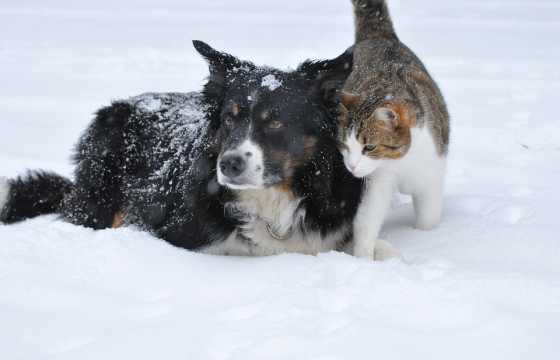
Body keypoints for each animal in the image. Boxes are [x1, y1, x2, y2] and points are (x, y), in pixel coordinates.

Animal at [336, 0, 450, 258]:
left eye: (369, 147)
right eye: (344, 145)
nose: (351, 166)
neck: (402, 161)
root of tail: (378, 36)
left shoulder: (431, 173)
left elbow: (428, 217)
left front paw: (427, 238)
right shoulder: (378, 180)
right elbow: (367, 219)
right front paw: (362, 257)